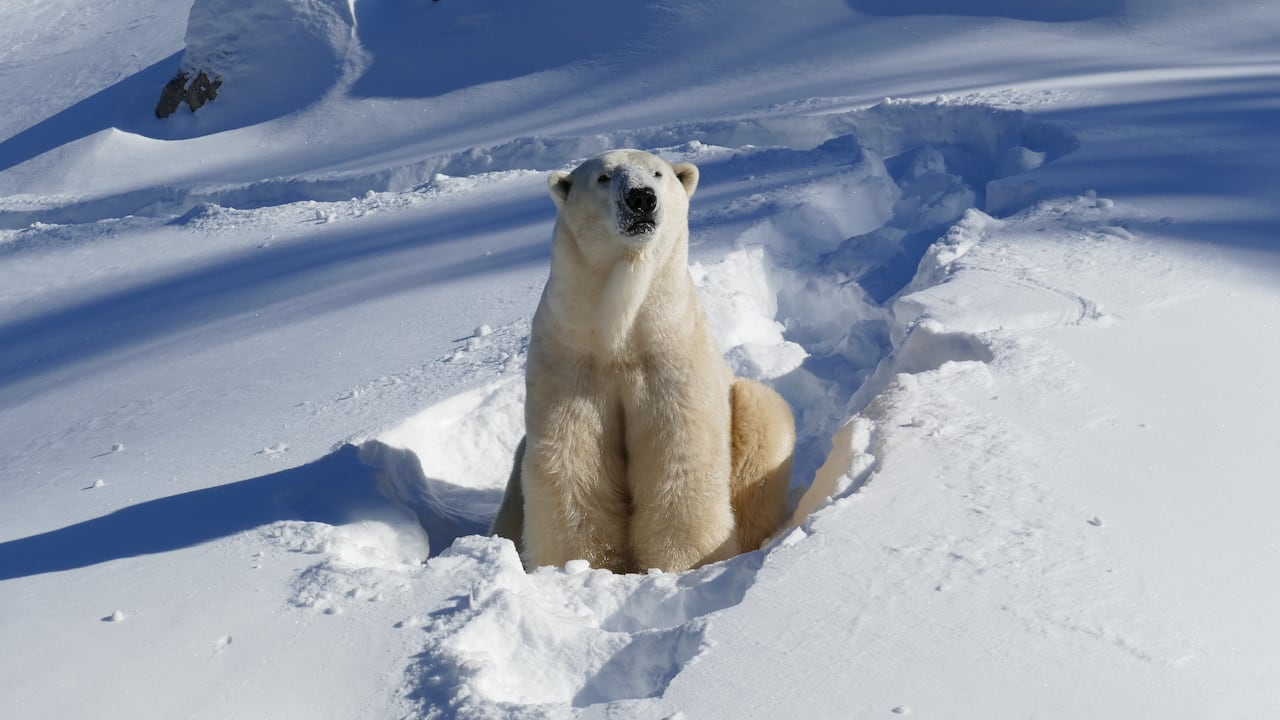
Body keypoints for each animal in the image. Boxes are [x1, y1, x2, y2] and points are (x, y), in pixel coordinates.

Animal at [489, 149, 795, 573]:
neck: (619, 336)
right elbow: (573, 460)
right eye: (603, 177)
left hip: (750, 415)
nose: (641, 198)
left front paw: (687, 562)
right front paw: (577, 565)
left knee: (762, 420)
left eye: (658, 173)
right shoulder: (571, 357)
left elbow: (678, 453)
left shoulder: (668, 351)